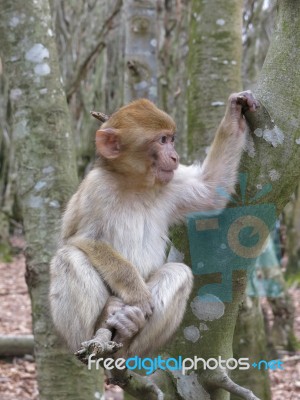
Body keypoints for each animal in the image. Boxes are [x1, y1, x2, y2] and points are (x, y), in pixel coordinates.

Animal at [48, 92, 258, 358]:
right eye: (162, 140)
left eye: (171, 139)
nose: (175, 156)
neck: (135, 184)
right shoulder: (97, 188)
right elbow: (85, 239)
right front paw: (137, 294)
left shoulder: (171, 182)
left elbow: (211, 190)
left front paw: (235, 113)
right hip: (77, 339)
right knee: (68, 257)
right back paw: (100, 323)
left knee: (178, 273)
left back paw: (128, 334)